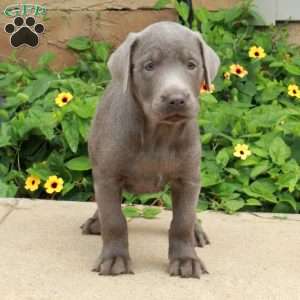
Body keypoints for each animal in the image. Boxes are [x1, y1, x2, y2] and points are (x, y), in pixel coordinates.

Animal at [81, 21, 219, 278]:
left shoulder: (188, 179)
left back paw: (197, 231)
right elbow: (114, 219)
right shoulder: (107, 177)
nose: (176, 99)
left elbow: (182, 221)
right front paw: (114, 259)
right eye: (149, 66)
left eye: (191, 64)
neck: (159, 133)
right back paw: (96, 221)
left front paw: (186, 260)